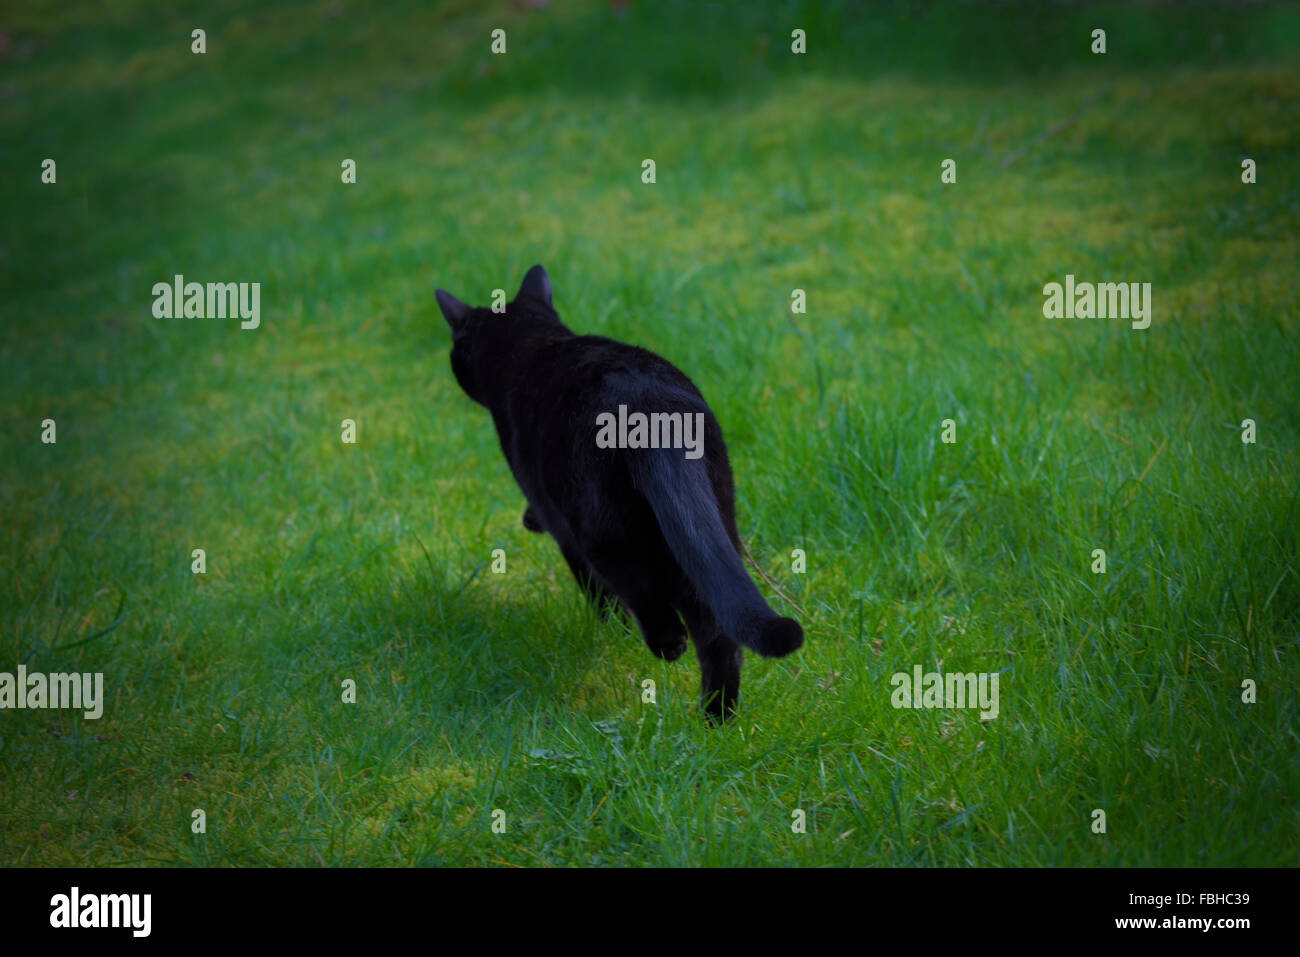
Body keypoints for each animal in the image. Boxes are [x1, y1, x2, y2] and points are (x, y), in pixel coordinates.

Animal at [436, 265, 800, 722]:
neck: (532, 344)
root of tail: (651, 409)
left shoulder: (553, 513)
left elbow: (594, 588)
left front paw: (610, 630)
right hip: (712, 522)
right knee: (718, 630)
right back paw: (717, 719)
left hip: (603, 527)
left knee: (642, 588)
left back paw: (668, 646)